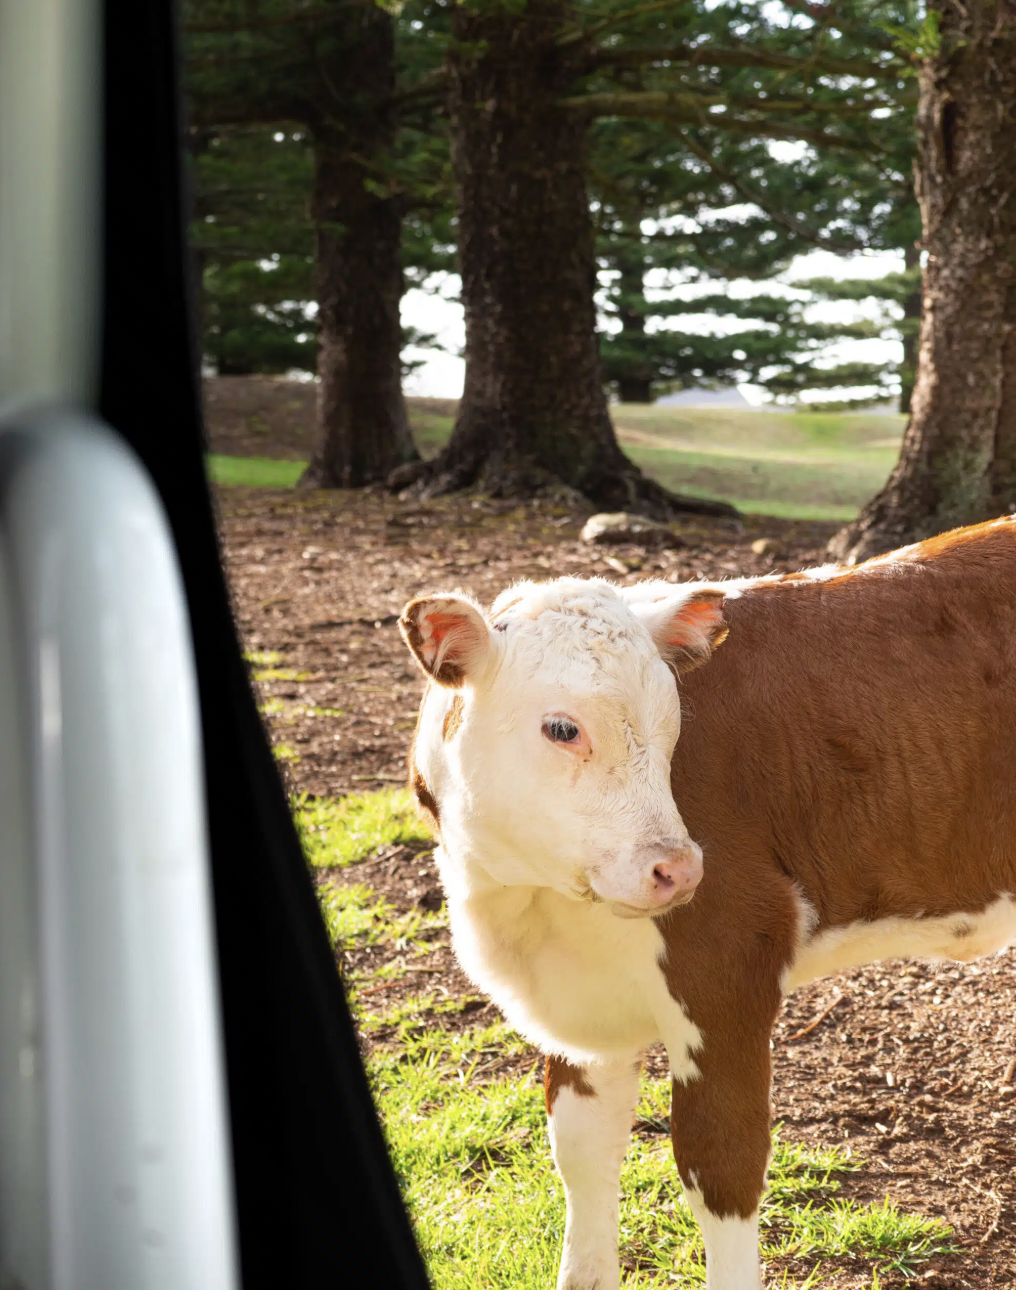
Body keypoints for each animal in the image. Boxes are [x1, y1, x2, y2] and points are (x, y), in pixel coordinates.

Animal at [397, 516, 1016, 1290]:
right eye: (562, 727)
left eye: (673, 725)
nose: (680, 869)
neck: (530, 903)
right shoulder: (579, 1006)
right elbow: (581, 1152)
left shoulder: (727, 970)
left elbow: (720, 1166)